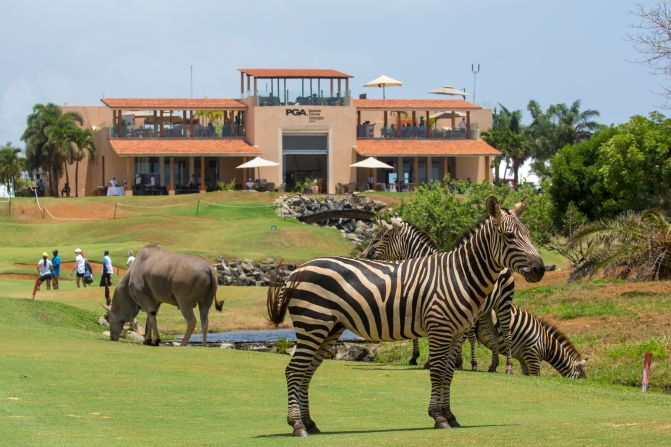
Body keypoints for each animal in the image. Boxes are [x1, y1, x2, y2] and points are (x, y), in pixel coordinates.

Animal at [362, 217, 516, 374]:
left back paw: (507, 367)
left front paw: (427, 361)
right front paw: (420, 358)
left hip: (503, 302)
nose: (365, 255)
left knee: (506, 332)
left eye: (384, 237)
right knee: (491, 333)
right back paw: (493, 365)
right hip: (487, 309)